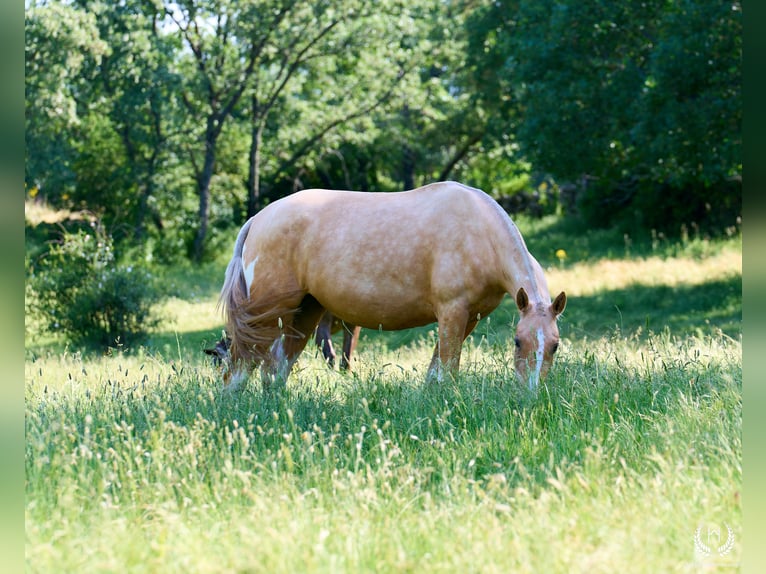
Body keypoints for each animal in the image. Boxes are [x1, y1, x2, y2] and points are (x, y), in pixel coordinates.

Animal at [217, 181, 566, 391]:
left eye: (554, 345)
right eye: (517, 342)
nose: (531, 391)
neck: (479, 230)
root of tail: (258, 219)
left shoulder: (468, 317)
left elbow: (436, 367)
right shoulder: (452, 312)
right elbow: (448, 367)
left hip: (305, 313)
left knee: (277, 366)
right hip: (267, 315)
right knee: (239, 369)